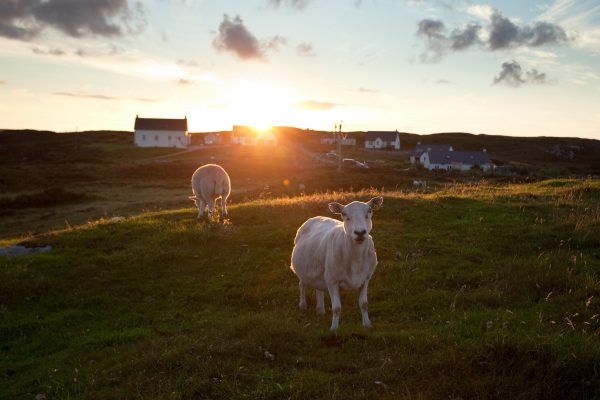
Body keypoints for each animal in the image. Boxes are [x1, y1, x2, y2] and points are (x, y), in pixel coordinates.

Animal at [290, 195, 384, 330]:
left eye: (369, 211)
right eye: (344, 214)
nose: (360, 232)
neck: (355, 259)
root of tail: (315, 217)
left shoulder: (365, 278)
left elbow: (364, 304)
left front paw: (367, 324)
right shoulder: (332, 280)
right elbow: (337, 308)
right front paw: (334, 328)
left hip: (320, 270)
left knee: (318, 288)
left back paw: (320, 310)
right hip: (305, 271)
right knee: (302, 285)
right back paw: (303, 305)